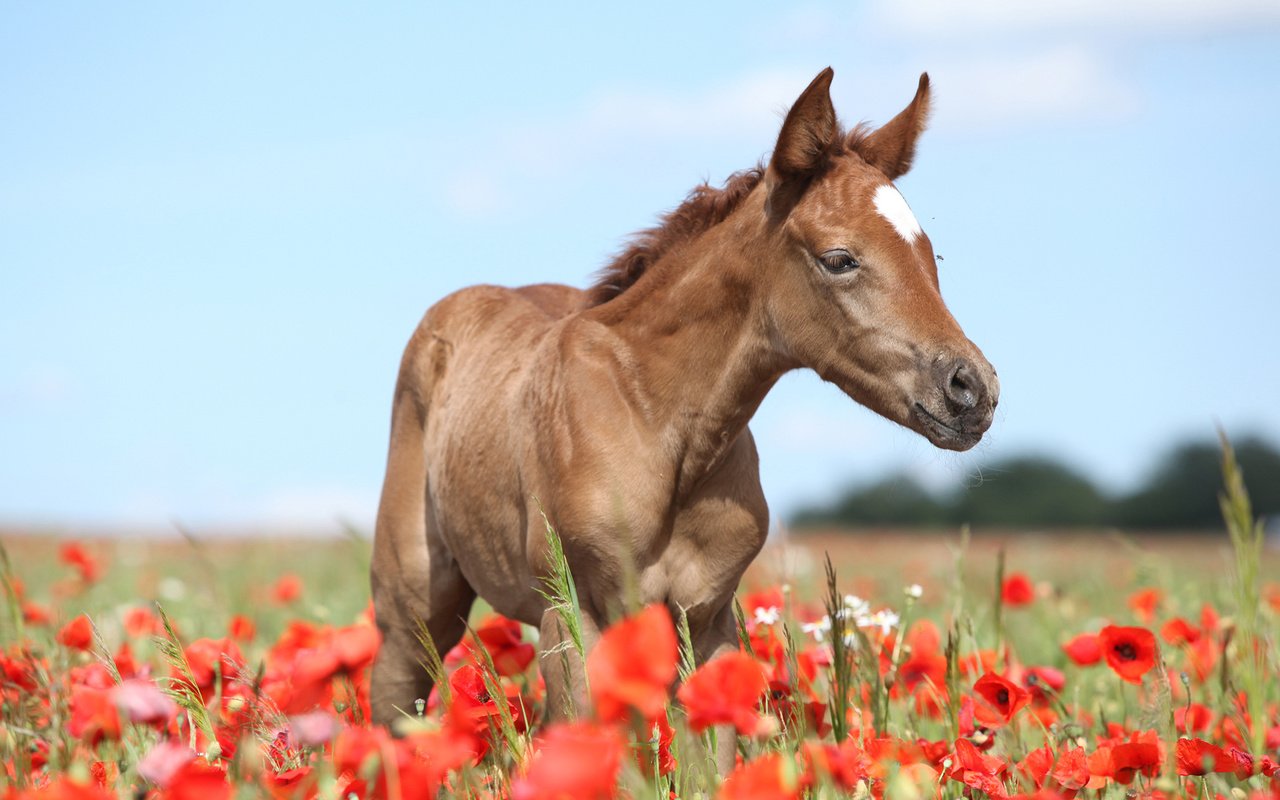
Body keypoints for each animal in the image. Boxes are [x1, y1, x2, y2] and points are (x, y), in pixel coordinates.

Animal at [371, 68, 998, 752]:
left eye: (930, 254)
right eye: (839, 258)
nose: (973, 390)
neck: (658, 424)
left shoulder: (707, 620)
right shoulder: (574, 614)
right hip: (414, 610)